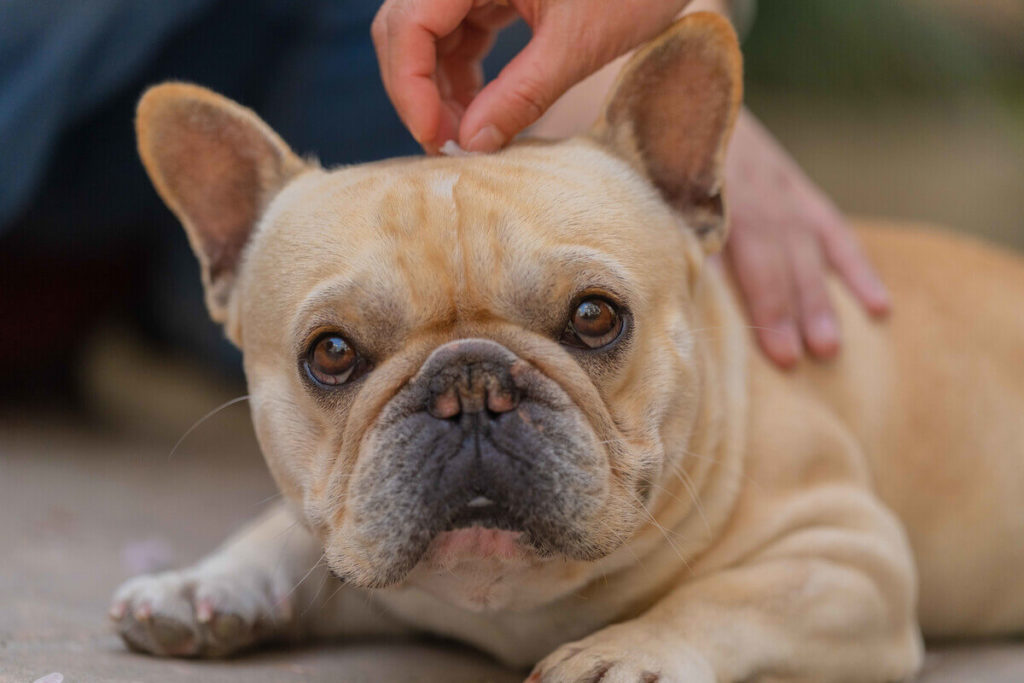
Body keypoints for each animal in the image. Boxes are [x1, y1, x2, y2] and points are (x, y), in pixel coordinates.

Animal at [110, 13, 1024, 679]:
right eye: (331, 353)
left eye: (594, 317)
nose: (470, 385)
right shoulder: (350, 531)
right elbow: (293, 528)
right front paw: (205, 581)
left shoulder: (845, 556)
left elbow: (724, 600)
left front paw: (624, 652)